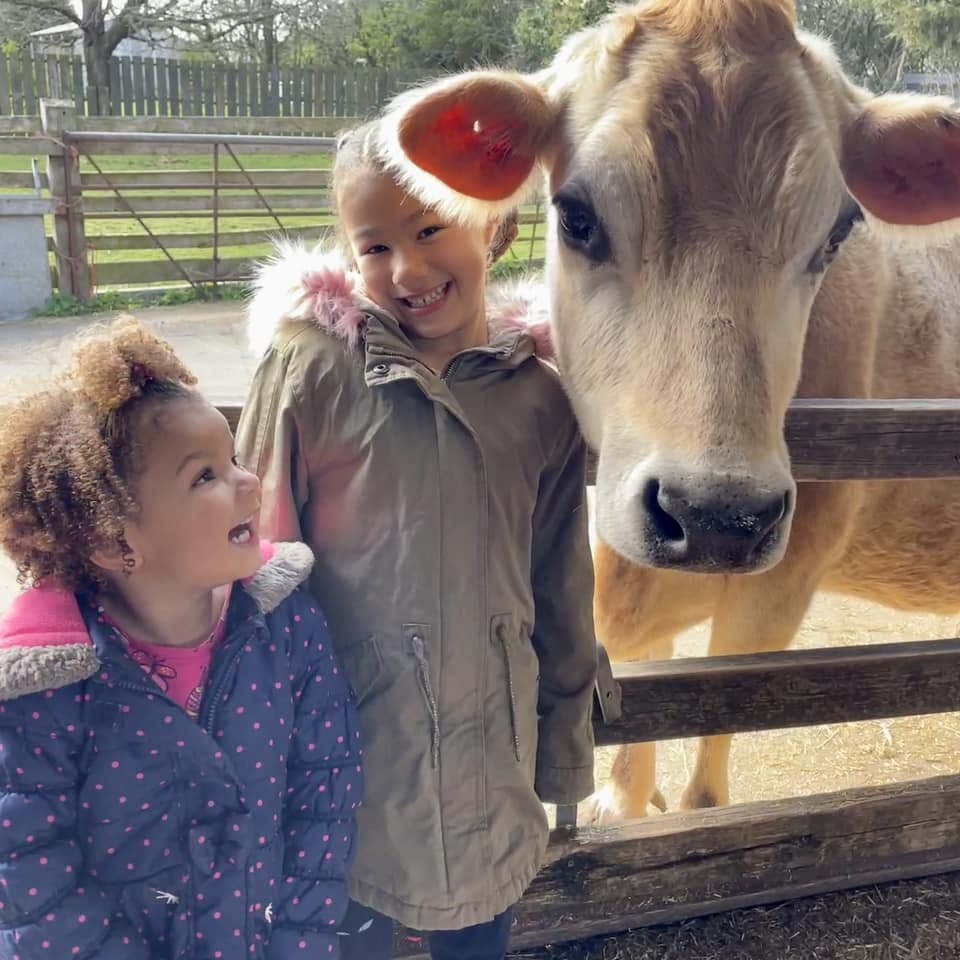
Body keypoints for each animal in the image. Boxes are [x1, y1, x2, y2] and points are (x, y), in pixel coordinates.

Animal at [378, 1, 960, 816]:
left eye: (836, 234)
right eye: (577, 217)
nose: (715, 516)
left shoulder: (780, 582)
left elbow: (707, 781)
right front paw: (621, 799)